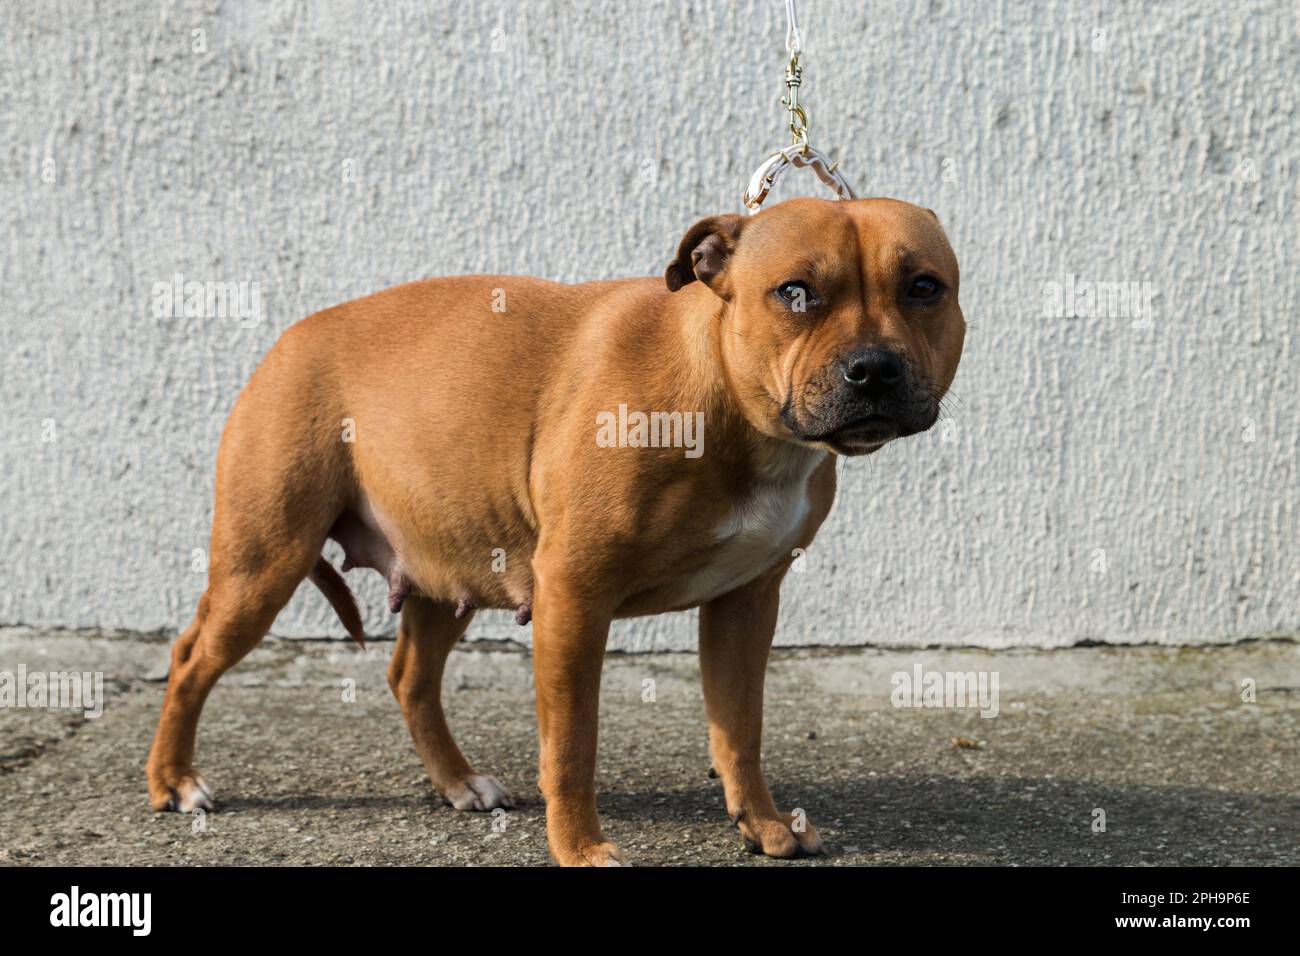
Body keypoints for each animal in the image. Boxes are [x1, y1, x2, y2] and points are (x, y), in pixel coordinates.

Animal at [149, 196, 967, 868]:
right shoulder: (575, 596)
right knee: (191, 658)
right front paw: (581, 849)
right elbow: (573, 744)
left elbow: (740, 729)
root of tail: (290, 336)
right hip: (263, 563)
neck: (729, 404)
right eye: (796, 293)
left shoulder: (745, 602)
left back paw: (458, 782)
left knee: (411, 675)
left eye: (924, 287)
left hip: (452, 564)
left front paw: (763, 824)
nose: (873, 368)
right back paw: (174, 782)